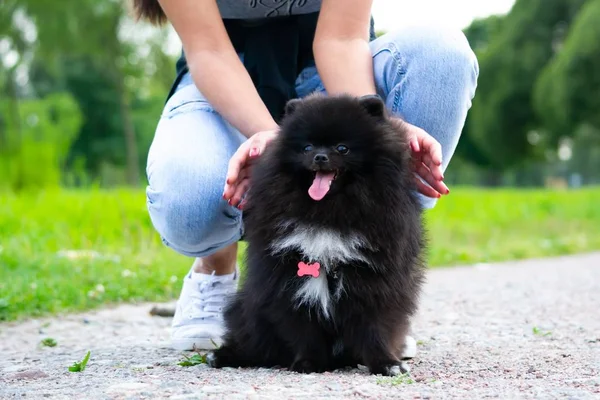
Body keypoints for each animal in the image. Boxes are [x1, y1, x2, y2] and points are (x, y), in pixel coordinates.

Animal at [209, 93, 424, 376]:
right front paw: (308, 363)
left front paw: (386, 363)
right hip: (250, 311)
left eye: (342, 148)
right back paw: (224, 355)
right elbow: (303, 329)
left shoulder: (375, 280)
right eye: (307, 148)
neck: (328, 213)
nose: (320, 157)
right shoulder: (289, 279)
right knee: (253, 341)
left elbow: (375, 328)